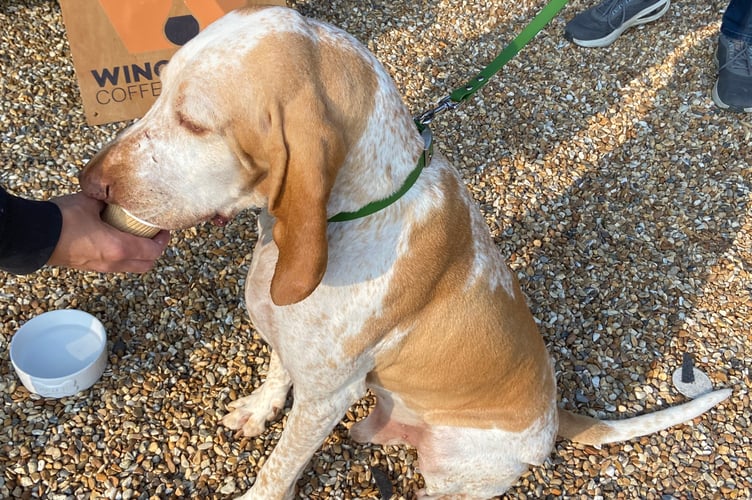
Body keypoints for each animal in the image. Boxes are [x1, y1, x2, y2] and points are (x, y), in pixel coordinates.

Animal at [79, 5, 732, 498]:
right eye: (158, 87)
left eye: (193, 121)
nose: (91, 183)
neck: (352, 216)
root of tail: (551, 423)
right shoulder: (294, 345)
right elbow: (275, 375)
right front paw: (258, 410)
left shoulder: (327, 396)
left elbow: (279, 466)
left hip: (452, 467)